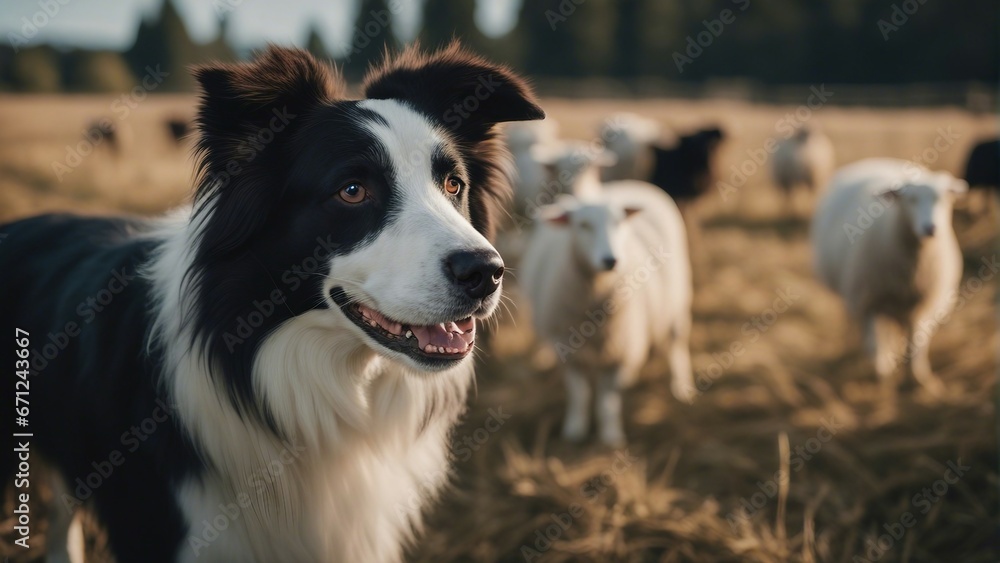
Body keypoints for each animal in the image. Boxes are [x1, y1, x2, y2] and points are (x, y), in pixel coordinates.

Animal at [520, 175, 692, 446]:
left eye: (619, 222)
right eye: (583, 225)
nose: (610, 260)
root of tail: (629, 183)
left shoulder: (620, 350)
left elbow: (607, 401)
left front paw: (611, 436)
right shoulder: (567, 350)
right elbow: (580, 393)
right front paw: (575, 430)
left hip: (678, 297)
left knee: (677, 342)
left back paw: (681, 386)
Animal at [812, 158, 968, 396]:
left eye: (943, 197)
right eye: (910, 199)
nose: (930, 228)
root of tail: (874, 160)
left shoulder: (921, 306)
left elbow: (916, 346)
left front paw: (918, 380)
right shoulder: (867, 302)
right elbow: (874, 344)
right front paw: (881, 377)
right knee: (866, 329)